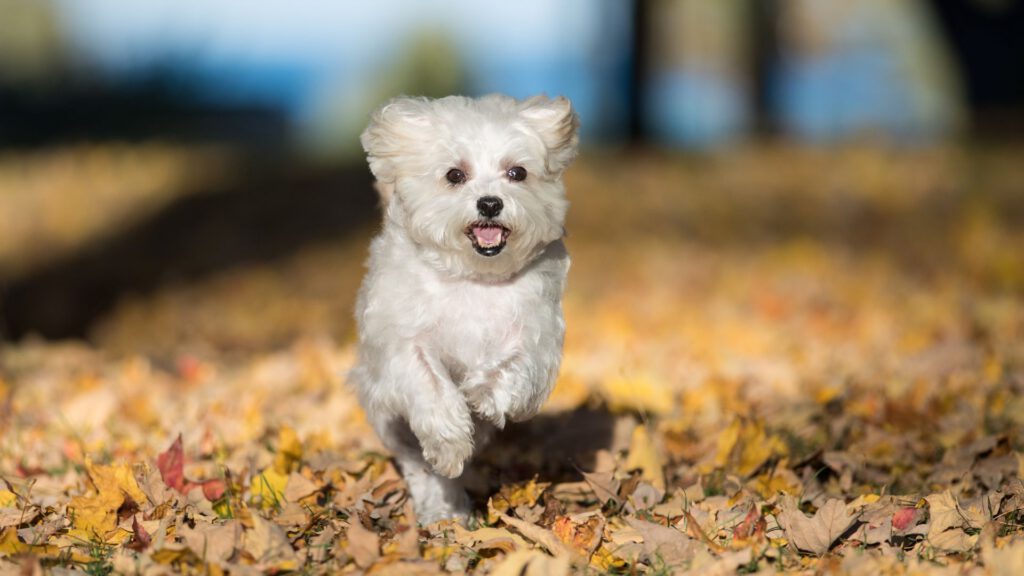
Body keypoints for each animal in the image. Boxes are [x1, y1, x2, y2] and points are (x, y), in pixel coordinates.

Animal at [350, 93, 577, 520]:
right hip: (389, 418)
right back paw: (444, 508)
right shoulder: (403, 342)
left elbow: (516, 365)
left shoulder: (538, 333)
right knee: (418, 463)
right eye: (455, 175)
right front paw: (451, 442)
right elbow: (430, 382)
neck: (474, 278)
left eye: (517, 172)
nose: (489, 203)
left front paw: (483, 396)